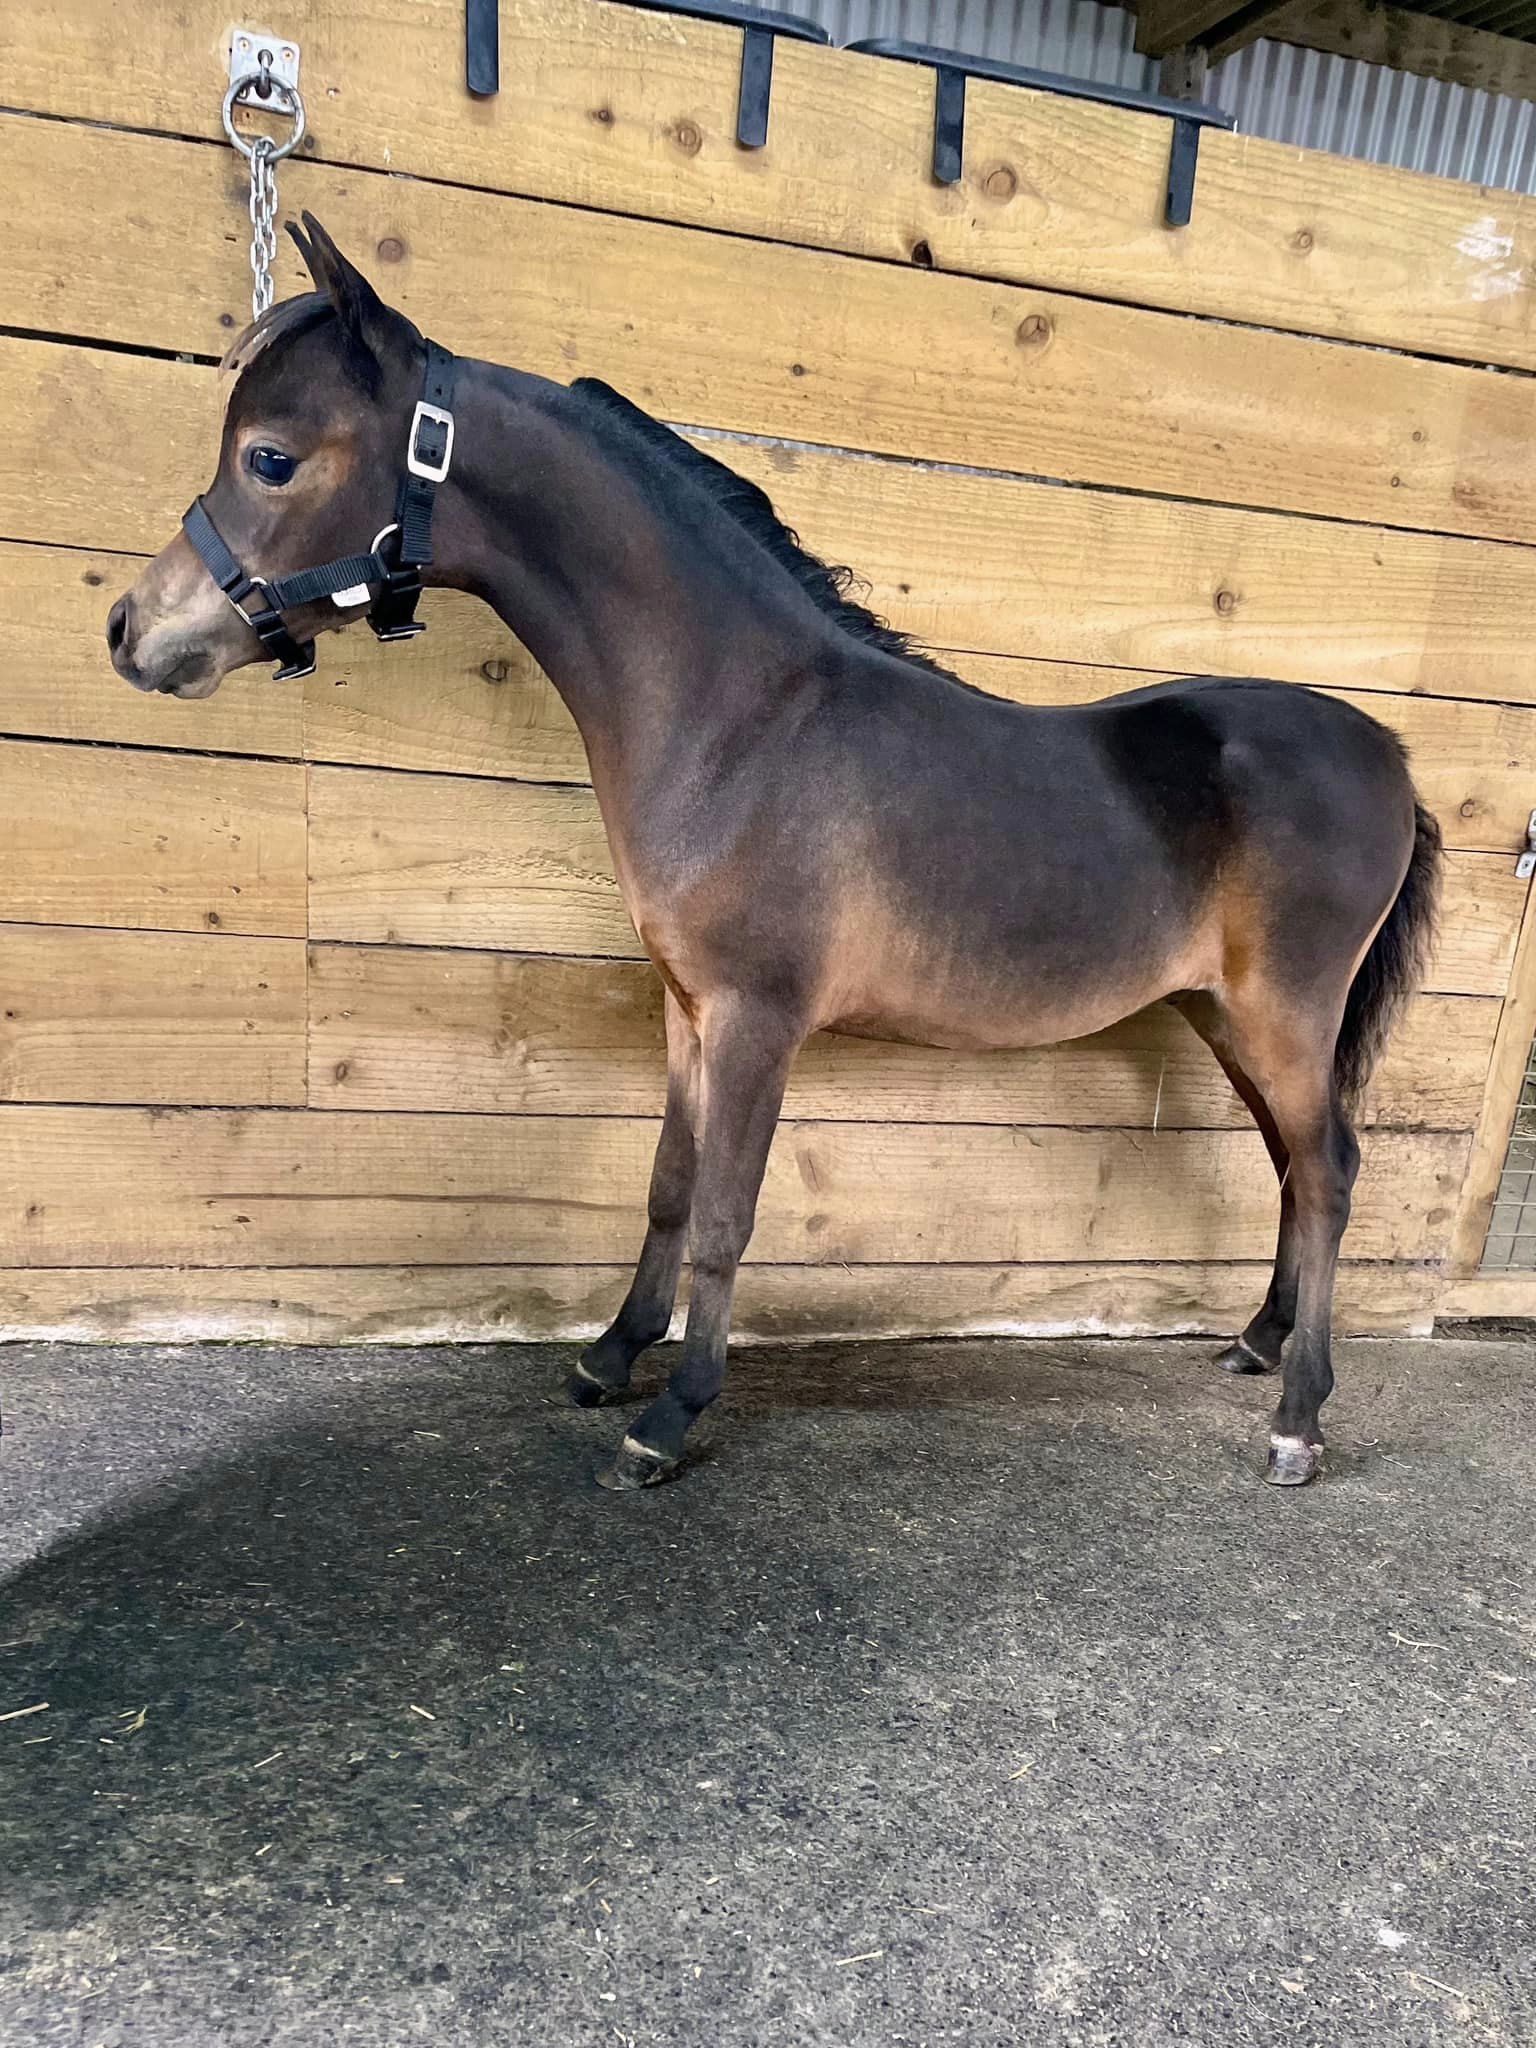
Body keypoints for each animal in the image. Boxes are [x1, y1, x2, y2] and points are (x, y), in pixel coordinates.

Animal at [107, 217, 1441, 1494]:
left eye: (271, 457)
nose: (133, 631)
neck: (741, 720)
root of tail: (1387, 756)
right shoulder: (687, 1009)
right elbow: (667, 1183)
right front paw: (608, 1355)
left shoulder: (758, 1016)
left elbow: (727, 1213)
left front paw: (669, 1417)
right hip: (1228, 1016)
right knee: (1296, 1164)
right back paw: (1258, 1341)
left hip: (1281, 1013)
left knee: (1328, 1171)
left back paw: (1298, 1420)